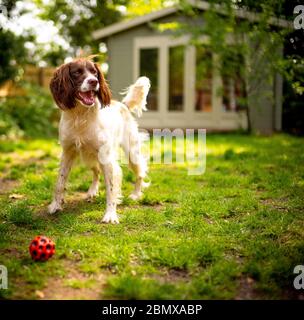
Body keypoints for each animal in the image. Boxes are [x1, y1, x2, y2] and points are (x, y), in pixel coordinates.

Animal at [47, 57, 151, 222]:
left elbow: (111, 188)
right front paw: (55, 205)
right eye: (77, 72)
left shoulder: (107, 158)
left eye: (94, 72)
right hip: (88, 157)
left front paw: (110, 215)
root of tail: (123, 105)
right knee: (96, 172)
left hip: (131, 154)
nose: (94, 81)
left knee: (139, 173)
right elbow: (60, 182)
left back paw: (135, 194)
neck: (81, 116)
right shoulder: (67, 152)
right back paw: (91, 192)